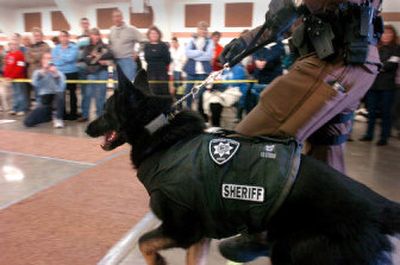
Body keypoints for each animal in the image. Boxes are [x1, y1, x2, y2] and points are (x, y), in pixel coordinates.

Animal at [86, 68, 398, 264]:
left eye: (106, 110)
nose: (88, 127)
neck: (157, 128)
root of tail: (378, 206)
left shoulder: (182, 230)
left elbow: (143, 241)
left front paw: (158, 261)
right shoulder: (199, 237)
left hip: (294, 252)